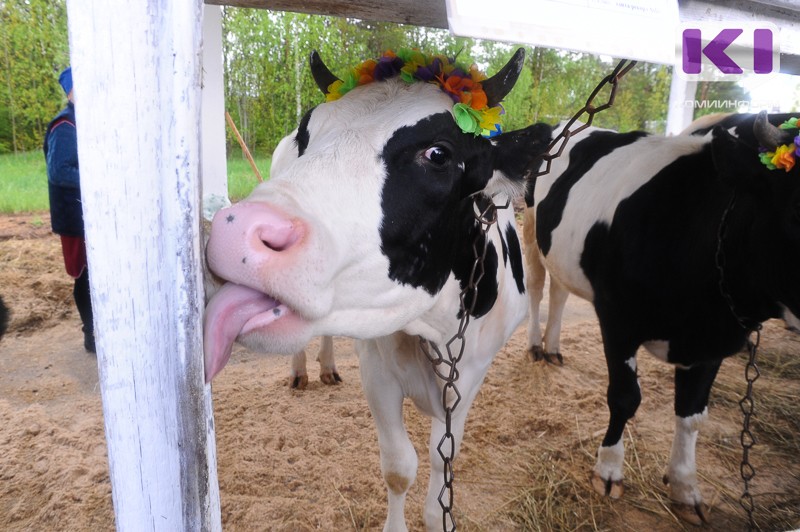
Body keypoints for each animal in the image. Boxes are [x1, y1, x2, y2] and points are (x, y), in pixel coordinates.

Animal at [202, 47, 552, 528]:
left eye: (438, 153)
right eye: (308, 134)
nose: (236, 231)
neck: (432, 329)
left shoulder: (471, 375)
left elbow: (442, 465)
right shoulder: (377, 371)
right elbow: (399, 466)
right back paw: (303, 371)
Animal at [524, 111, 800, 524]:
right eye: (798, 213)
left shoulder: (714, 340)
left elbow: (692, 415)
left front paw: (686, 488)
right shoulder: (617, 320)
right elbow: (624, 398)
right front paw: (608, 471)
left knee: (558, 291)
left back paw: (553, 348)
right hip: (528, 225)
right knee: (537, 287)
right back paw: (535, 346)